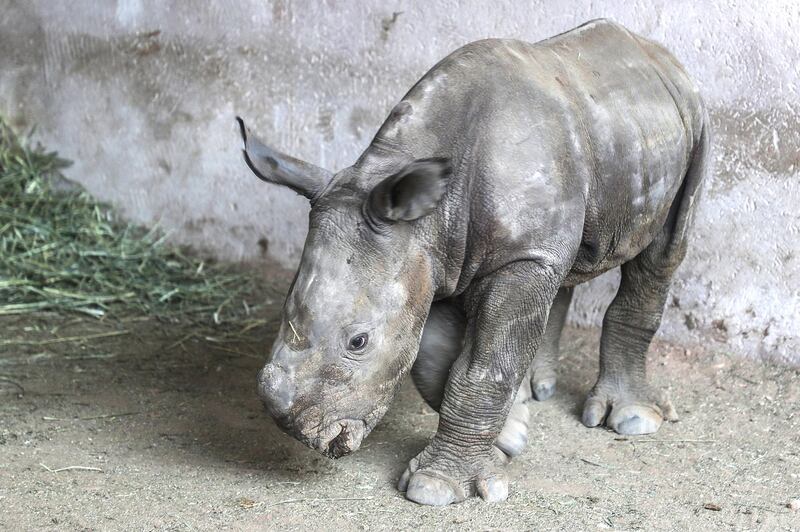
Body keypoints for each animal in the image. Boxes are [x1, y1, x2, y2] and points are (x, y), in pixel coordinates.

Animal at [241, 19, 708, 508]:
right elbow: (434, 358)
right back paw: (538, 391)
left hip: (693, 122)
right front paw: (513, 430)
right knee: (563, 267)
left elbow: (482, 369)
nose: (297, 429)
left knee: (663, 251)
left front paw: (435, 487)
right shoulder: (436, 258)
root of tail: (659, 55)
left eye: (359, 342)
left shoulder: (505, 258)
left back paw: (632, 419)